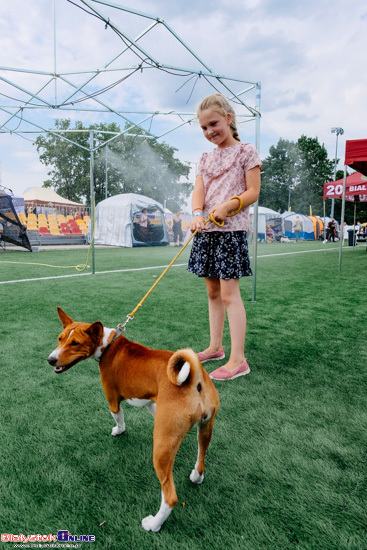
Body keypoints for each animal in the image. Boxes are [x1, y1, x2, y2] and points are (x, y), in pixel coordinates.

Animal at [47, 308, 220, 532]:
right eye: (60, 338)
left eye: (75, 343)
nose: (51, 360)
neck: (108, 345)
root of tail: (195, 379)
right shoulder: (150, 402)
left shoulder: (112, 399)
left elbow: (118, 417)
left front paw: (118, 431)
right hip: (205, 429)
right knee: (201, 458)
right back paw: (196, 477)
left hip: (161, 448)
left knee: (170, 497)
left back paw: (153, 524)